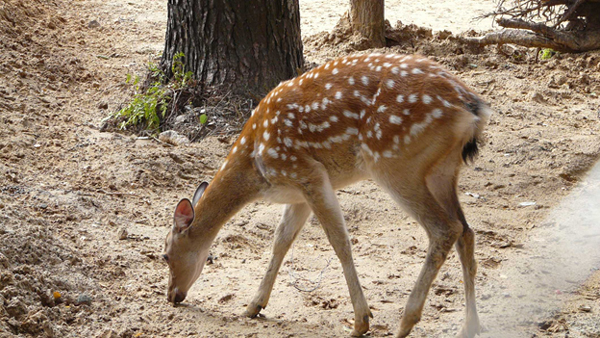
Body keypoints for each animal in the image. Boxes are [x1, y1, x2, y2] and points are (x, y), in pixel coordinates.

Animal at [162, 52, 490, 338]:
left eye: (164, 255)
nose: (171, 295)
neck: (254, 167)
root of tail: (473, 108)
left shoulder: (309, 172)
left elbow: (340, 241)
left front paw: (361, 321)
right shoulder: (298, 192)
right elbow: (280, 241)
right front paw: (253, 305)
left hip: (394, 161)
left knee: (445, 228)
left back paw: (405, 323)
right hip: (442, 169)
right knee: (466, 231)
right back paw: (469, 325)